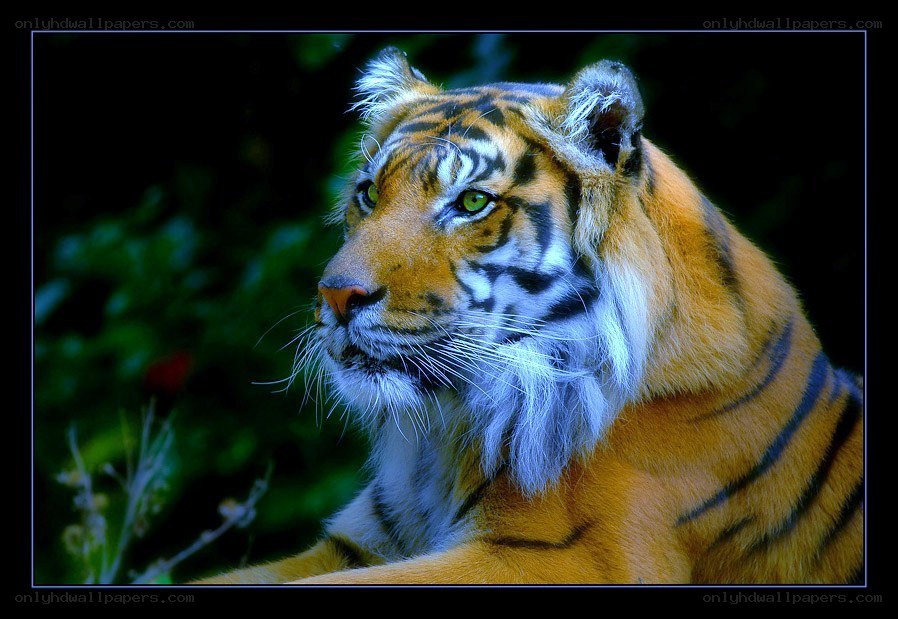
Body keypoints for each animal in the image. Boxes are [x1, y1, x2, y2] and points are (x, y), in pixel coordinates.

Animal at [198, 47, 863, 585]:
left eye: (471, 202)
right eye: (369, 194)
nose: (335, 297)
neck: (445, 435)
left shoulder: (565, 555)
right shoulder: (356, 543)